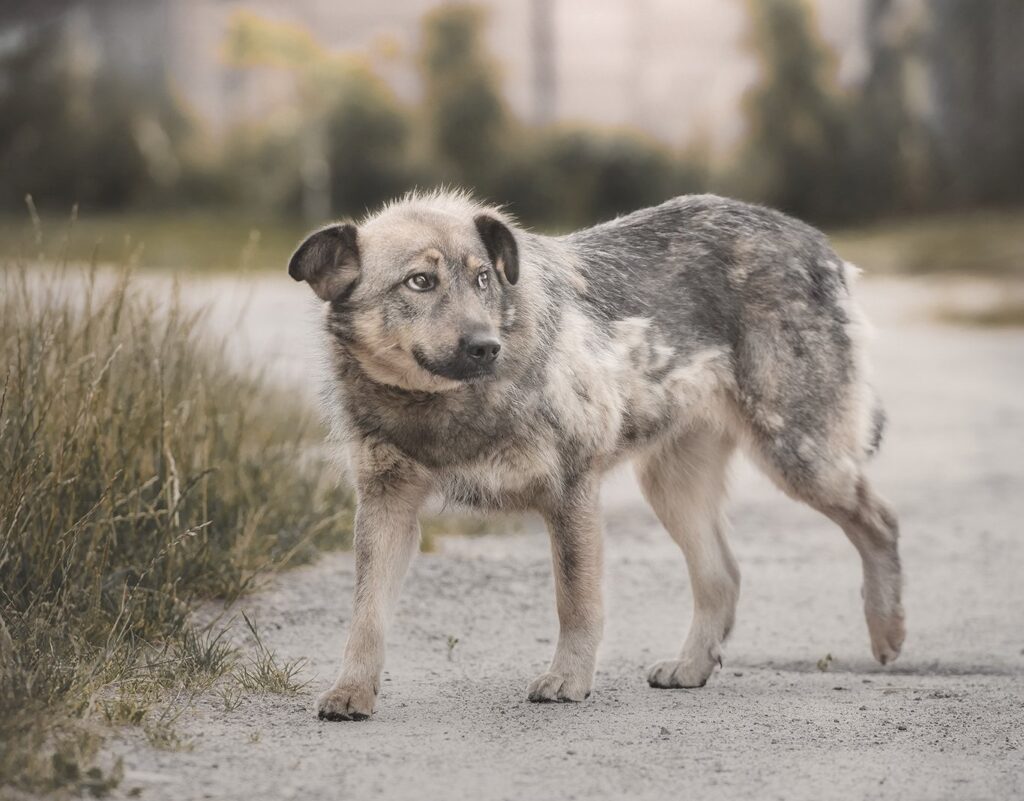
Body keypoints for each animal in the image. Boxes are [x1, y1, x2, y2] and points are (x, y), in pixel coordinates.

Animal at [288, 191, 905, 725]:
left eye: (483, 279)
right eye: (420, 281)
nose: (487, 347)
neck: (440, 408)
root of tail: (814, 240)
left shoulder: (571, 493)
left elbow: (576, 602)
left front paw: (569, 679)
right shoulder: (386, 508)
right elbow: (366, 616)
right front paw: (352, 690)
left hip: (798, 457)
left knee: (881, 521)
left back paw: (887, 631)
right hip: (673, 488)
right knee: (723, 575)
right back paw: (692, 666)